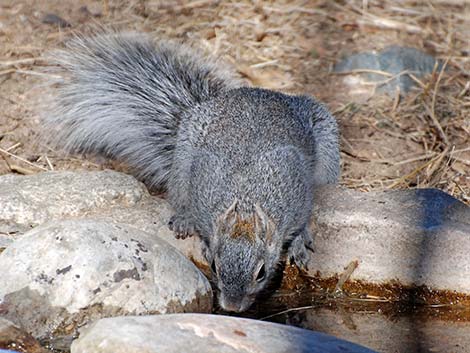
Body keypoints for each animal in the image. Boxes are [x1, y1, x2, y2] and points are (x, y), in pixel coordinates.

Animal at [45, 33, 338, 310]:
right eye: (215, 266)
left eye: (261, 273)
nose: (231, 307)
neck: (246, 202)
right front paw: (201, 238)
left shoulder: (297, 196)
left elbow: (301, 222)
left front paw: (299, 243)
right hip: (183, 157)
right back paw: (183, 218)